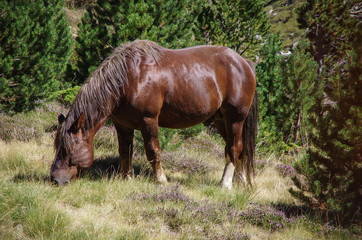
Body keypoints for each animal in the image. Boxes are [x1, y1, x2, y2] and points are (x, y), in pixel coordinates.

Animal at [51, 39, 258, 189]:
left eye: (69, 148)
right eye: (57, 146)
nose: (55, 180)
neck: (128, 78)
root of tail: (243, 63)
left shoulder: (148, 120)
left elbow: (153, 150)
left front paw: (161, 180)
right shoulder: (122, 124)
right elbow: (125, 151)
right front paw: (126, 177)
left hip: (235, 119)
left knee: (234, 148)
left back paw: (225, 184)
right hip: (221, 120)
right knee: (236, 149)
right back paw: (240, 181)